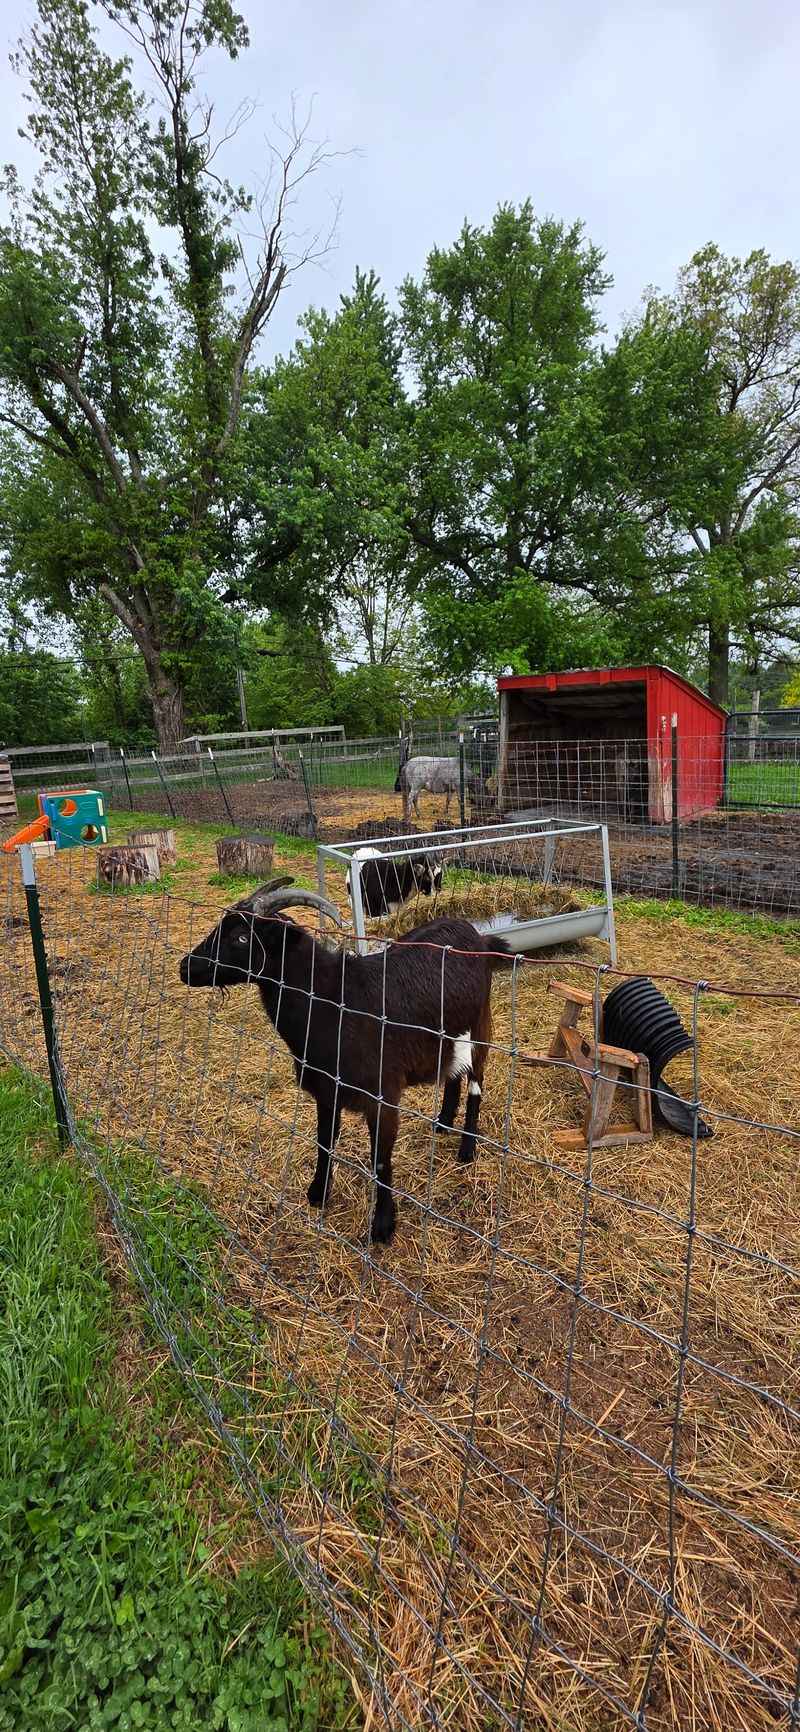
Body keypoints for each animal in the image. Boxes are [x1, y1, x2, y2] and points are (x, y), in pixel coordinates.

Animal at [179, 877, 510, 1244]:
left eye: (241, 937)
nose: (186, 967)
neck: (333, 1001)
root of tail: (479, 936)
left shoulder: (383, 1095)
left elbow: (380, 1160)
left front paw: (383, 1226)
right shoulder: (326, 1090)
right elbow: (324, 1142)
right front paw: (318, 1193)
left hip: (480, 1023)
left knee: (476, 1080)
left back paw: (466, 1150)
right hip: (449, 1033)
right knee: (453, 1071)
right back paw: (443, 1121)